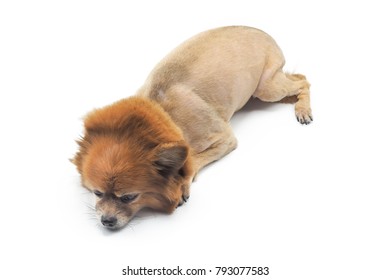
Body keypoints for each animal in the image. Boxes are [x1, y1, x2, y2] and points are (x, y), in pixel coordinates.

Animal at [72, 25, 310, 230]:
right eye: (97, 193)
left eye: (129, 197)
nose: (106, 220)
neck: (162, 116)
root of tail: (264, 33)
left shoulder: (226, 139)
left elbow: (193, 158)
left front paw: (183, 183)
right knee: (297, 77)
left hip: (266, 88)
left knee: (303, 81)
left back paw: (303, 109)